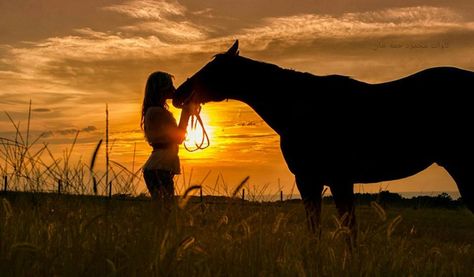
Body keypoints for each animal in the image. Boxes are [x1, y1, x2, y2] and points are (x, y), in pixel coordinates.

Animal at [173, 40, 474, 235]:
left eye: (212, 69)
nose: (178, 93)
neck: (301, 107)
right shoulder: (322, 180)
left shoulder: (326, 179)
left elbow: (343, 229)